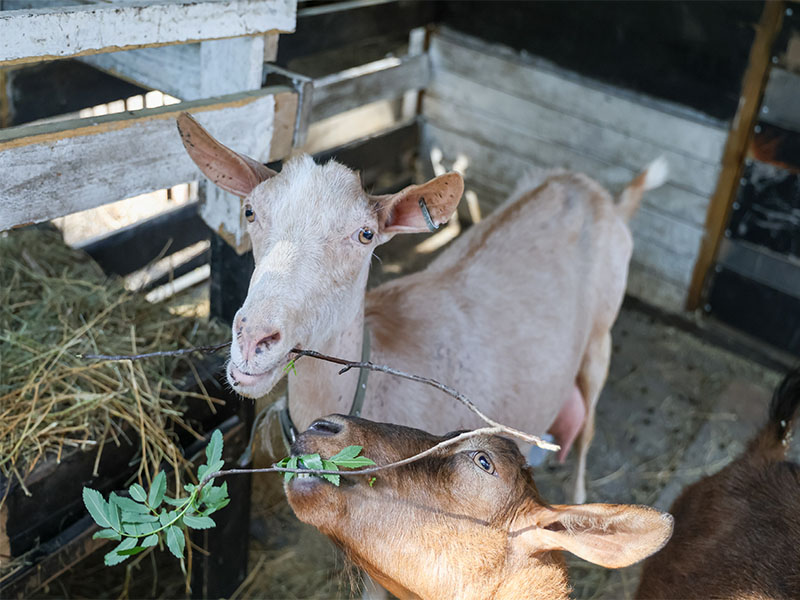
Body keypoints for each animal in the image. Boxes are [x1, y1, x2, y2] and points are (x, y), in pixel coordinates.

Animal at [177, 111, 668, 502]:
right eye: (250, 212)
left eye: (365, 235)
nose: (254, 338)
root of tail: (602, 195)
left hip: (602, 333)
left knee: (588, 424)